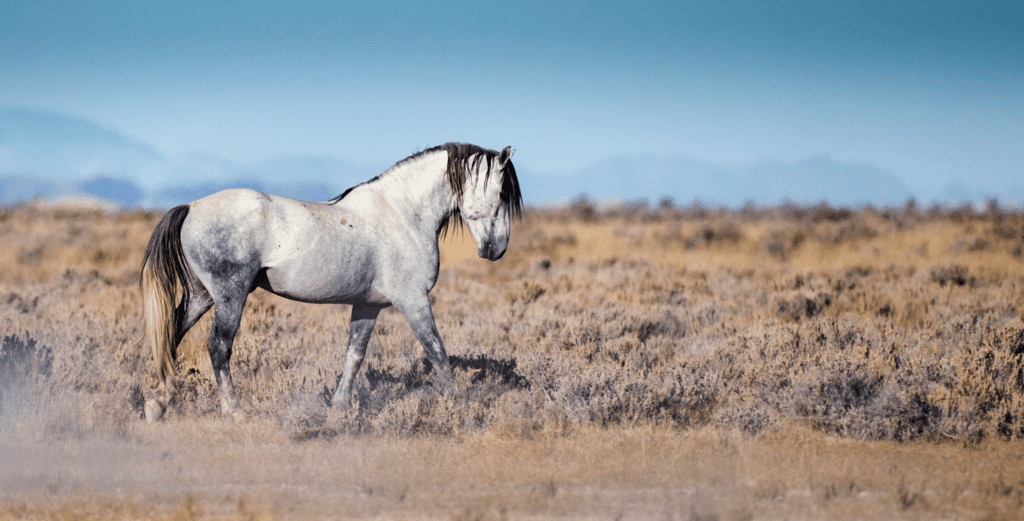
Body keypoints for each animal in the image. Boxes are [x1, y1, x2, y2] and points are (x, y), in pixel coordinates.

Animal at [137, 143, 524, 421]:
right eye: (501, 194)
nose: (497, 249)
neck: (402, 214)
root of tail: (191, 206)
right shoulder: (413, 301)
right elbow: (437, 352)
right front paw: (457, 406)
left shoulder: (368, 305)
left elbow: (354, 355)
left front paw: (339, 408)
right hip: (230, 295)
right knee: (219, 347)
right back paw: (234, 412)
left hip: (202, 296)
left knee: (171, 336)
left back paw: (158, 404)